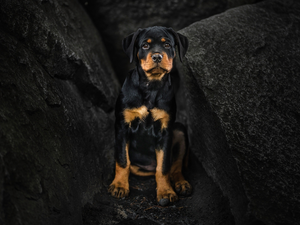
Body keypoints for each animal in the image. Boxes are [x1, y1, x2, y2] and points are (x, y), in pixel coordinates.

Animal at [109, 25, 191, 206]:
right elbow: (122, 160)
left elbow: (163, 166)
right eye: (145, 46)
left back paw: (181, 184)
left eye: (167, 45)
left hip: (179, 130)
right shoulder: (122, 126)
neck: (151, 86)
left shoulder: (165, 131)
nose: (157, 56)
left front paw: (165, 192)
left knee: (175, 165)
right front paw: (119, 186)